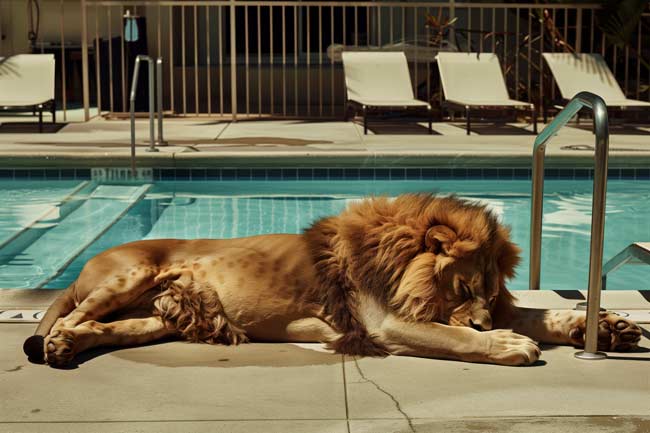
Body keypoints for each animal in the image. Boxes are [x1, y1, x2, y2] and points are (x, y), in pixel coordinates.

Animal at [23, 194, 642, 367]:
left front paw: (608, 327)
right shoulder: (387, 323)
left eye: (488, 292)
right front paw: (509, 343)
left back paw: (70, 347)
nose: (489, 320)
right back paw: (57, 342)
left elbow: (546, 314)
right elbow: (460, 337)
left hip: (157, 317)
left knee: (104, 330)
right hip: (131, 274)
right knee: (74, 316)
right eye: (464, 290)